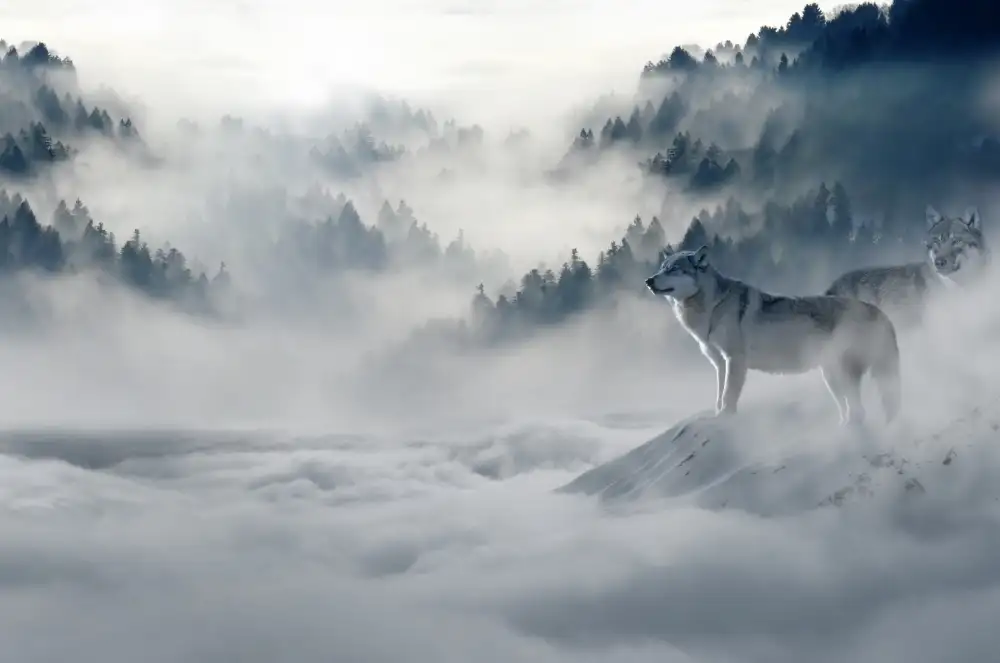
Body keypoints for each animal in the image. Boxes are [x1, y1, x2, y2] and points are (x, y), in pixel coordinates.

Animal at [646, 246, 901, 425]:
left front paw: (725, 417)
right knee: (853, 411)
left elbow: (728, 396)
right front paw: (717, 415)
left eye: (673, 269)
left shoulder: (734, 360)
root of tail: (879, 312)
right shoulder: (720, 363)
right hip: (831, 377)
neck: (712, 307)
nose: (648, 280)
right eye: (661, 268)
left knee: (859, 411)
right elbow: (719, 395)